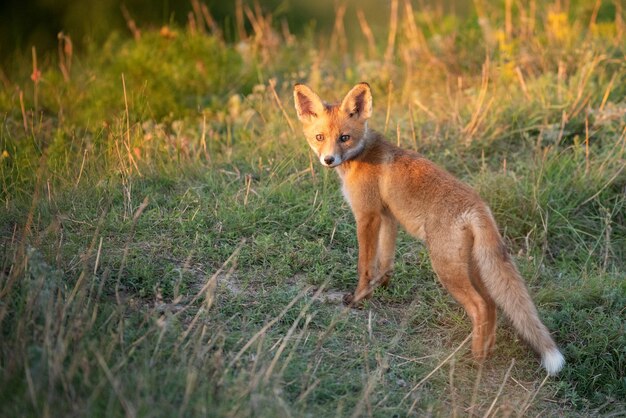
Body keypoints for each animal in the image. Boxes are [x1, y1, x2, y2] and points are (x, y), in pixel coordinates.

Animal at [292, 81, 564, 376]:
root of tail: (478, 206)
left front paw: (359, 298)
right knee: (491, 304)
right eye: (320, 137)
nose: (328, 160)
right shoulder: (388, 217)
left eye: (344, 138)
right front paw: (381, 287)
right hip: (470, 267)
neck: (363, 155)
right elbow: (385, 262)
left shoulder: (367, 216)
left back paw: (474, 358)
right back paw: (486, 351)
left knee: (480, 306)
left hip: (445, 269)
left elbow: (364, 264)